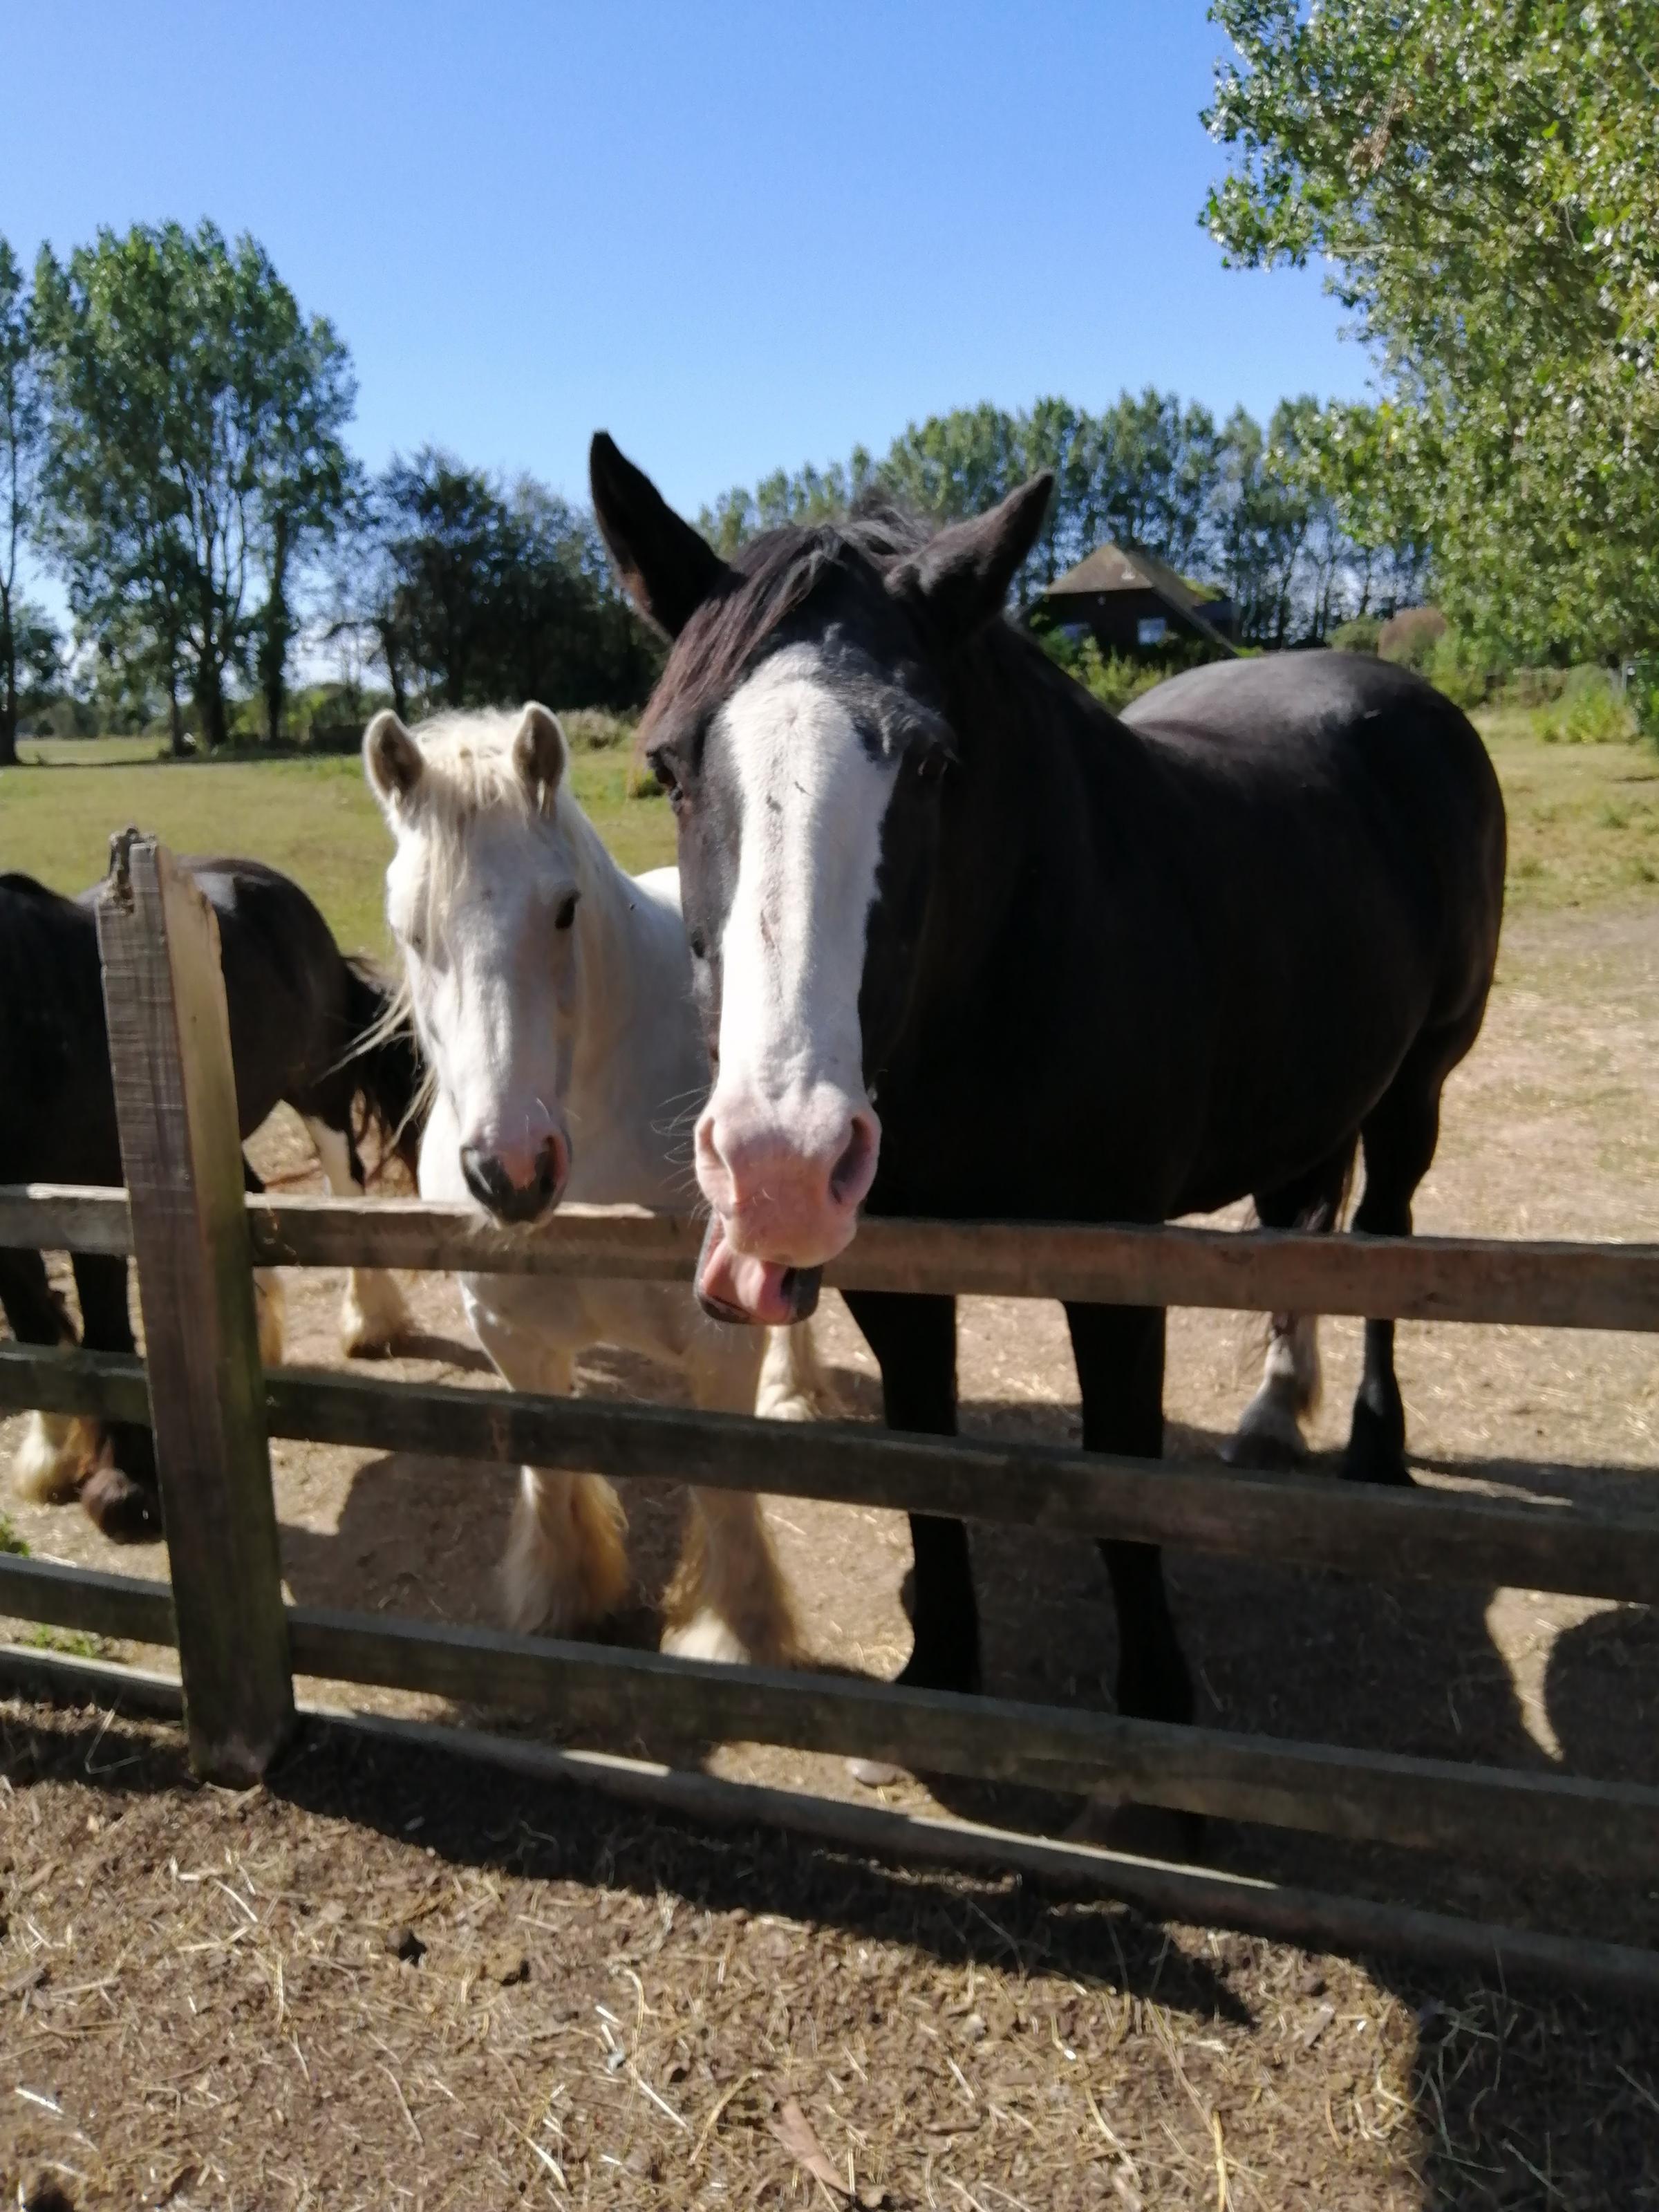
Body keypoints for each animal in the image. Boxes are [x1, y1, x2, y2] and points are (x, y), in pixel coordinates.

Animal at [3, 858, 429, 1539]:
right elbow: (36, 1330)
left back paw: (368, 1323)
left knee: (346, 1185)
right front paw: (51, 1458)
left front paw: (126, 1486)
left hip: (319, 1091)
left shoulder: (98, 1204)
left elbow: (107, 1334)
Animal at [367, 703, 827, 1663]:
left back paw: (794, 1390)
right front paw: (564, 1594)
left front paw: (738, 1634)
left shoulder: (722, 1345)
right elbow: (550, 1471)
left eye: (563, 909)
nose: (511, 1170)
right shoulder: (513, 1335)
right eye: (409, 928)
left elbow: (727, 1498)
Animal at [592, 440, 1512, 1734]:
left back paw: (1375, 1452)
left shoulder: (1115, 1272)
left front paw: (1156, 1713)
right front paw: (941, 1672)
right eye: (669, 765)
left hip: (1417, 1086)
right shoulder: (899, 1274)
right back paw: (1275, 1414)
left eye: (932, 762)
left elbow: (1122, 1486)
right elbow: (928, 1471)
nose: (780, 1168)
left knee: (1382, 1238)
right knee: (1299, 1231)